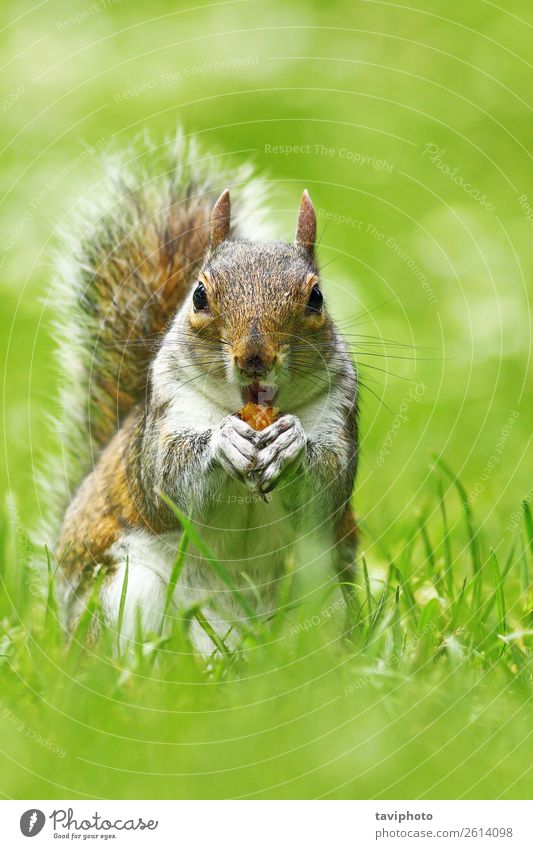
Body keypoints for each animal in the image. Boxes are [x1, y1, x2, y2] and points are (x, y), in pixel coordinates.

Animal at [51, 132, 358, 652]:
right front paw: (222, 443)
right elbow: (165, 479)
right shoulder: (164, 415)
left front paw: (291, 442)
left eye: (316, 298)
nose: (254, 358)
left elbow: (331, 481)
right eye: (199, 295)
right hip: (126, 591)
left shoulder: (340, 413)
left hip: (325, 593)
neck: (246, 407)